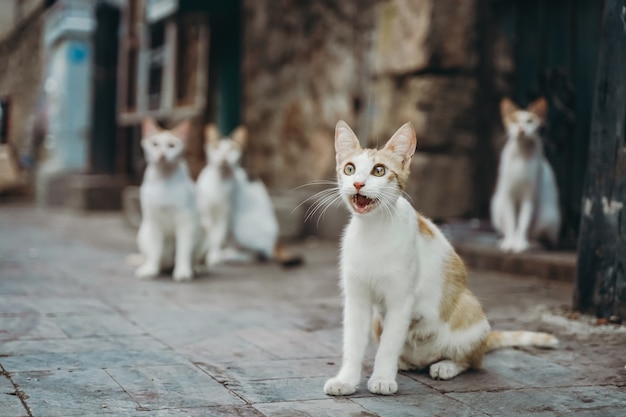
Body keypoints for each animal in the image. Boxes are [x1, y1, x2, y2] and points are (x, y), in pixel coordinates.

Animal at [135, 118, 201, 282]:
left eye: (172, 145)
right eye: (155, 144)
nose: (162, 155)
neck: (164, 180)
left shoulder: (186, 221)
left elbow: (183, 250)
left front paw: (183, 271)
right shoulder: (153, 221)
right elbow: (154, 250)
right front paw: (151, 269)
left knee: (193, 257)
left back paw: (194, 268)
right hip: (143, 232)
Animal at [195, 123, 302, 266]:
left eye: (232, 150)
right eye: (216, 148)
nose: (224, 158)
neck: (218, 180)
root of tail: (275, 240)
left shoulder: (224, 214)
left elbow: (217, 237)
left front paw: (213, 257)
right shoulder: (205, 211)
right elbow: (208, 233)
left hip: (242, 230)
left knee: (261, 253)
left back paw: (231, 255)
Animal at [322, 118, 556, 394]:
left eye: (379, 171)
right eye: (349, 169)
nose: (358, 183)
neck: (373, 231)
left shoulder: (401, 299)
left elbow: (389, 344)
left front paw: (382, 379)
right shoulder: (356, 297)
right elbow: (353, 343)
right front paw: (346, 380)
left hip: (470, 313)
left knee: (473, 360)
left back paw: (445, 366)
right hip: (379, 321)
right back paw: (405, 363)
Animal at [488, 97, 560, 252]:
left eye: (530, 121)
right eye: (514, 121)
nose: (521, 130)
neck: (521, 155)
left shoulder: (530, 197)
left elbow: (523, 222)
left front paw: (520, 244)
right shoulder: (508, 195)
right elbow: (511, 221)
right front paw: (510, 242)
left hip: (548, 216)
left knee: (543, 238)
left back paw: (533, 243)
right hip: (497, 204)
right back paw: (504, 239)